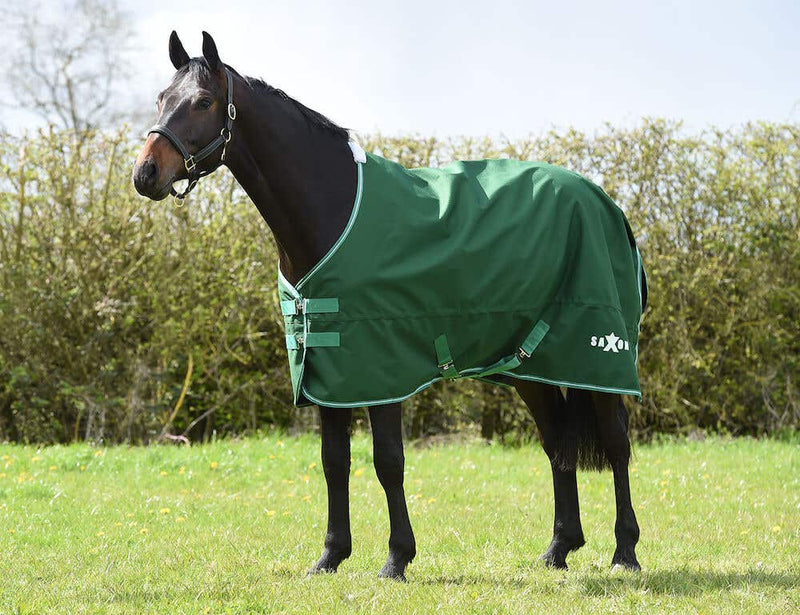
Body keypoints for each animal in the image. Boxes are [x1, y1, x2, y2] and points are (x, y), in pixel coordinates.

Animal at [132, 31, 643, 580]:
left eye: (204, 102)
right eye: (161, 99)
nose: (145, 173)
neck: (332, 211)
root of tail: (606, 204)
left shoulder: (382, 366)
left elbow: (387, 462)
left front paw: (397, 558)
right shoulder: (325, 367)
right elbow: (334, 461)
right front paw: (331, 555)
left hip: (596, 360)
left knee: (616, 443)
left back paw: (625, 553)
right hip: (533, 367)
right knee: (557, 444)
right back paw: (558, 549)